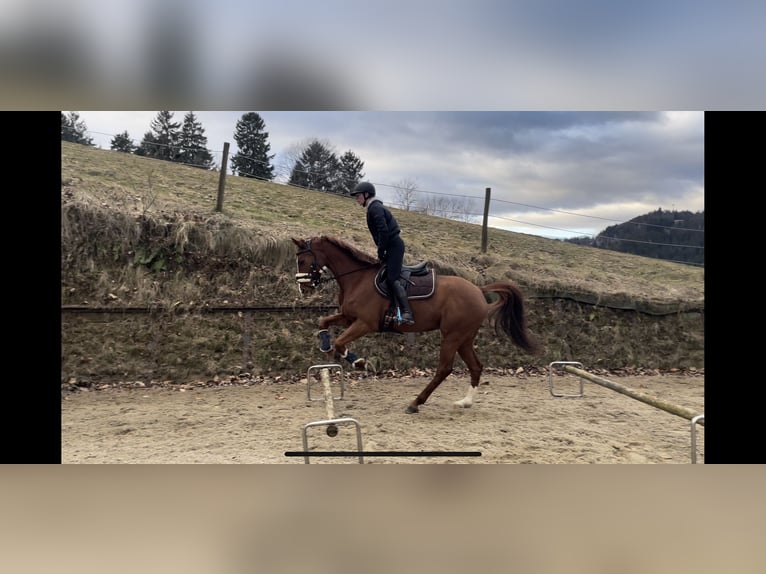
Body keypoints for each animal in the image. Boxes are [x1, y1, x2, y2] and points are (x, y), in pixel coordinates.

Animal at [292, 235, 540, 413]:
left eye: (302, 260)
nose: (303, 289)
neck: (357, 278)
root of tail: (479, 290)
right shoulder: (349, 317)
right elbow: (323, 321)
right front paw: (326, 345)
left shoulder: (365, 323)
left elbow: (341, 342)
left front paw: (359, 362)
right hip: (464, 338)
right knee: (476, 366)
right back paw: (465, 402)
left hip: (451, 336)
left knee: (444, 369)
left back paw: (416, 403)